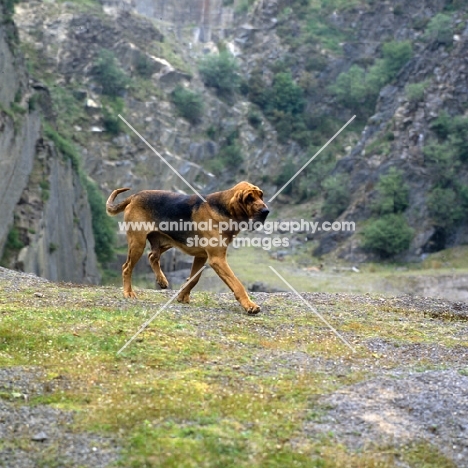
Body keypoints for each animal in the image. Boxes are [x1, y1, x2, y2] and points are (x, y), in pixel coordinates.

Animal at [104, 182, 268, 314]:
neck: (224, 208)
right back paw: (128, 292)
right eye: (249, 198)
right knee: (127, 267)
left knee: (152, 256)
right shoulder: (217, 259)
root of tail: (134, 196)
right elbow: (237, 284)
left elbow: (194, 279)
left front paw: (182, 296)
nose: (266, 212)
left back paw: (161, 280)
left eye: (261, 196)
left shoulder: (201, 256)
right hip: (138, 243)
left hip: (166, 241)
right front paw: (249, 305)